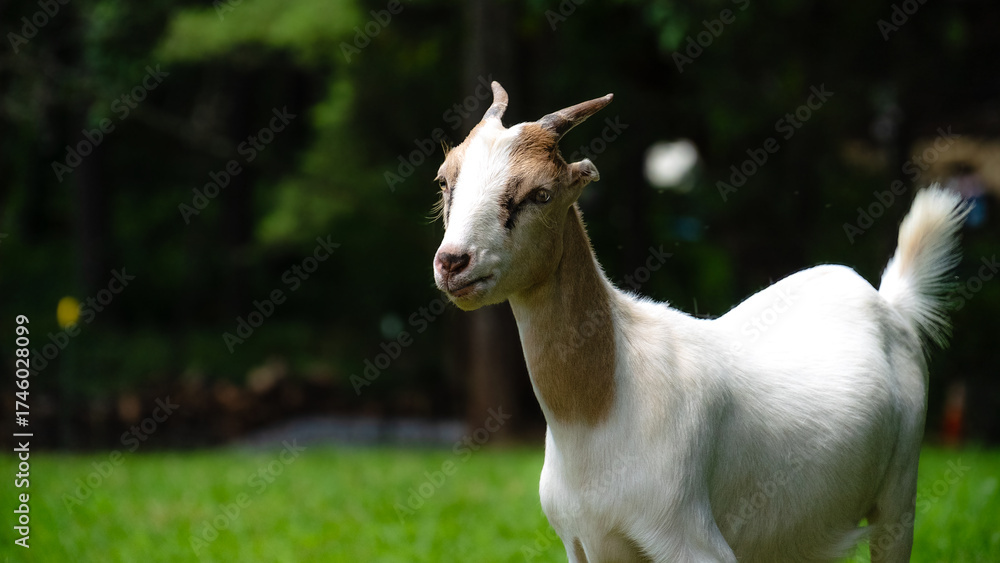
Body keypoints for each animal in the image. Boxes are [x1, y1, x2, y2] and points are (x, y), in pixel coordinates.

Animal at [431, 81, 969, 562]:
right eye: (443, 181)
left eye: (541, 194)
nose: (453, 262)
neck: (600, 405)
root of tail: (887, 301)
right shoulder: (584, 545)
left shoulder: (690, 539)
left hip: (900, 493)